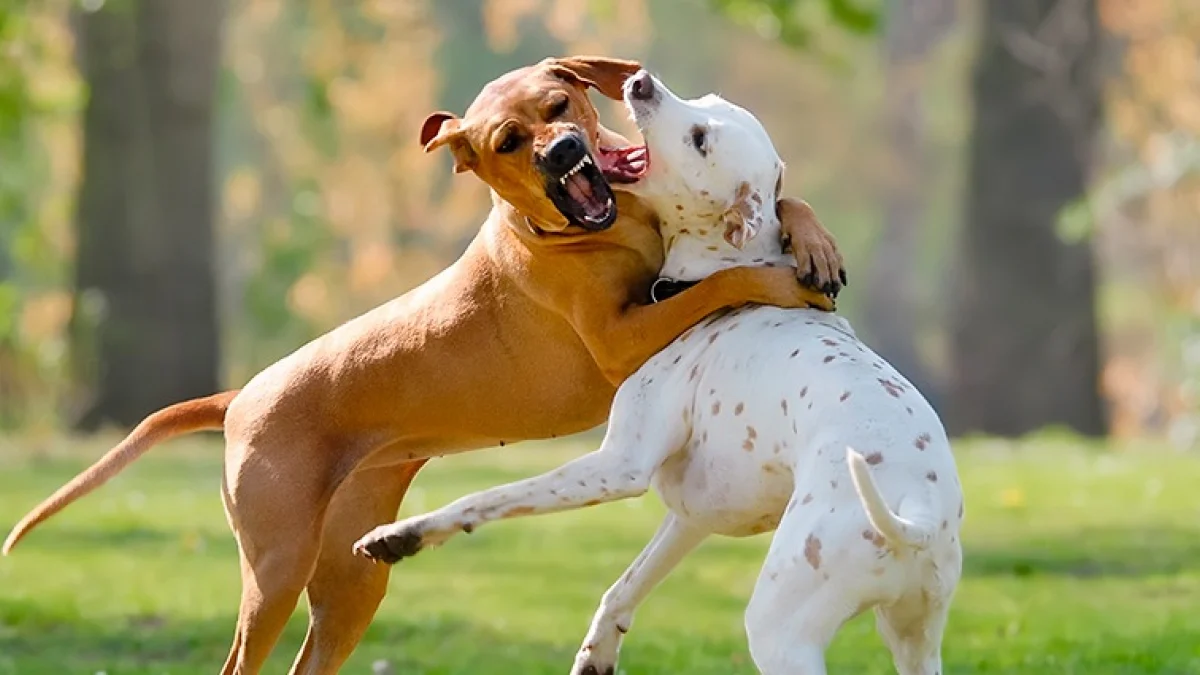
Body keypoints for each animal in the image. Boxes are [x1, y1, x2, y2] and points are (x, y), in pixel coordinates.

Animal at [2, 57, 844, 672]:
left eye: (560, 103)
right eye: (508, 142)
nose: (565, 152)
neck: (609, 224)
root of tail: (241, 397)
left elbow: (786, 203)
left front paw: (812, 240)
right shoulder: (621, 340)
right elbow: (727, 281)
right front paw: (781, 278)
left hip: (351, 579)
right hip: (275, 568)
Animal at [355, 70, 964, 667]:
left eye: (701, 139)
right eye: (708, 100)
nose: (643, 80)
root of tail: (917, 515)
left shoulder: (618, 465)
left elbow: (487, 498)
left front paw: (401, 535)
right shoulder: (691, 517)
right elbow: (622, 588)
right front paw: (598, 651)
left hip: (781, 630)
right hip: (914, 640)